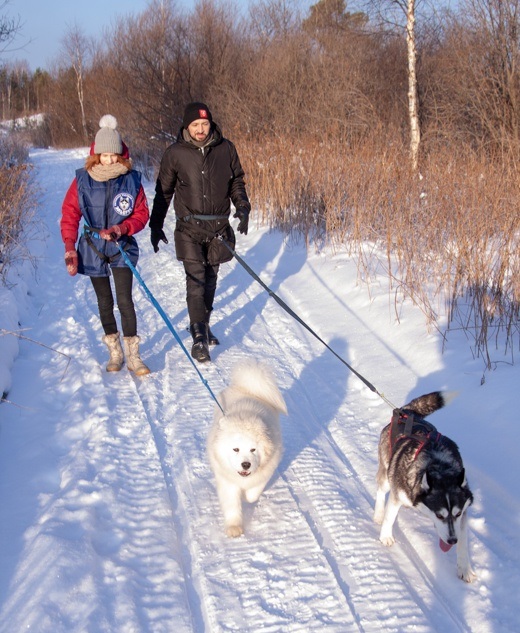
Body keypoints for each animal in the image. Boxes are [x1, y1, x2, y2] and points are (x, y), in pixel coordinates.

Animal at [208, 360, 288, 532]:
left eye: (253, 449)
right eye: (235, 449)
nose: (246, 464)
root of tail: (248, 388)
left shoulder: (264, 474)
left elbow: (252, 494)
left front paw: (246, 497)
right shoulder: (227, 482)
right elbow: (232, 505)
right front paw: (234, 528)